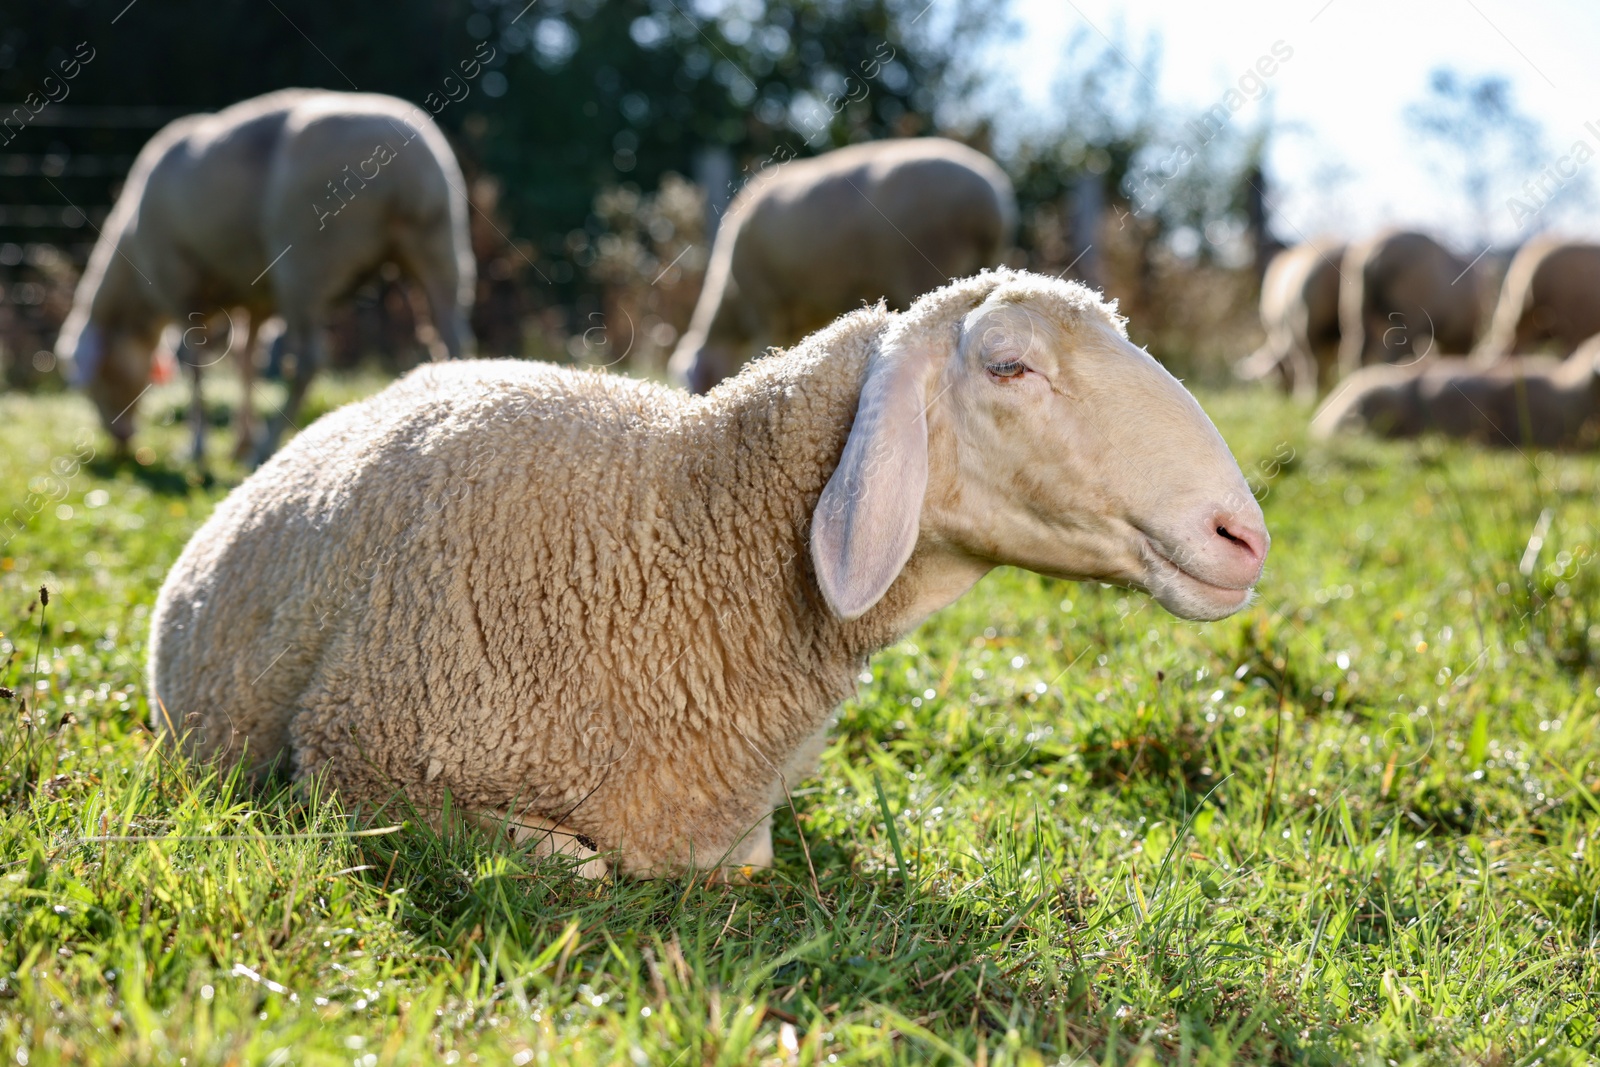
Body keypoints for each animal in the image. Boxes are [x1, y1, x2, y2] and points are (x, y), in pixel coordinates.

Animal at [58, 87, 480, 463]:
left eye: (95, 381)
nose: (121, 441)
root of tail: (406, 171)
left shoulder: (179, 283)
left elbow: (195, 364)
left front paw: (199, 448)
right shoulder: (255, 297)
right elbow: (246, 362)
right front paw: (238, 441)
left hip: (306, 258)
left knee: (310, 358)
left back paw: (266, 448)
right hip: (441, 244)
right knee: (453, 336)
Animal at [152, 271, 1273, 883]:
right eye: (1009, 365)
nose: (1244, 535)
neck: (674, 525)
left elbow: (744, 856)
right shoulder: (353, 757)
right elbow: (579, 861)